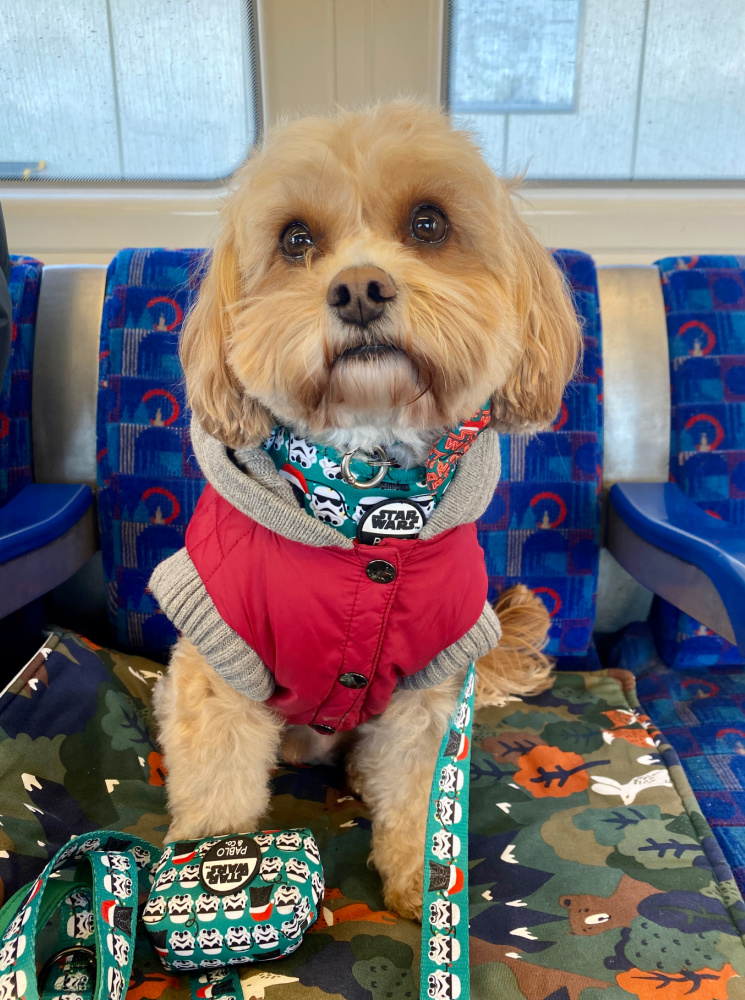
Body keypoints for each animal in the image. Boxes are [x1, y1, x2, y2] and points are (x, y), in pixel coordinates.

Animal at [151, 101, 580, 920]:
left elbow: (416, 794)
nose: (358, 289)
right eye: (295, 239)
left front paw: (420, 881)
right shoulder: (220, 662)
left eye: (428, 223)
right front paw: (206, 883)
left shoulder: (427, 691)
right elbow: (218, 786)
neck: (368, 502)